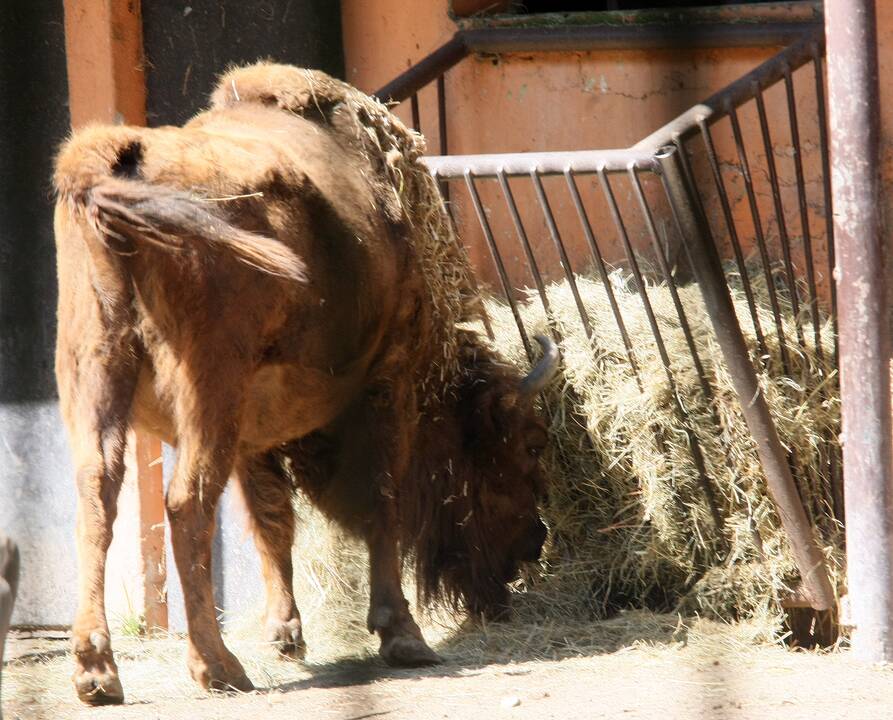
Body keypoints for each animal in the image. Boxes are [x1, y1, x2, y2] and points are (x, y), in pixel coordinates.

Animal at [52, 63, 556, 704]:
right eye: (526, 447)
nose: (534, 543)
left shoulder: (254, 430)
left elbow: (272, 519)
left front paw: (285, 633)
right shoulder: (386, 381)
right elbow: (381, 501)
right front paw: (403, 635)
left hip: (95, 374)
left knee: (98, 493)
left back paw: (97, 673)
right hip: (208, 388)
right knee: (188, 502)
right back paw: (218, 666)